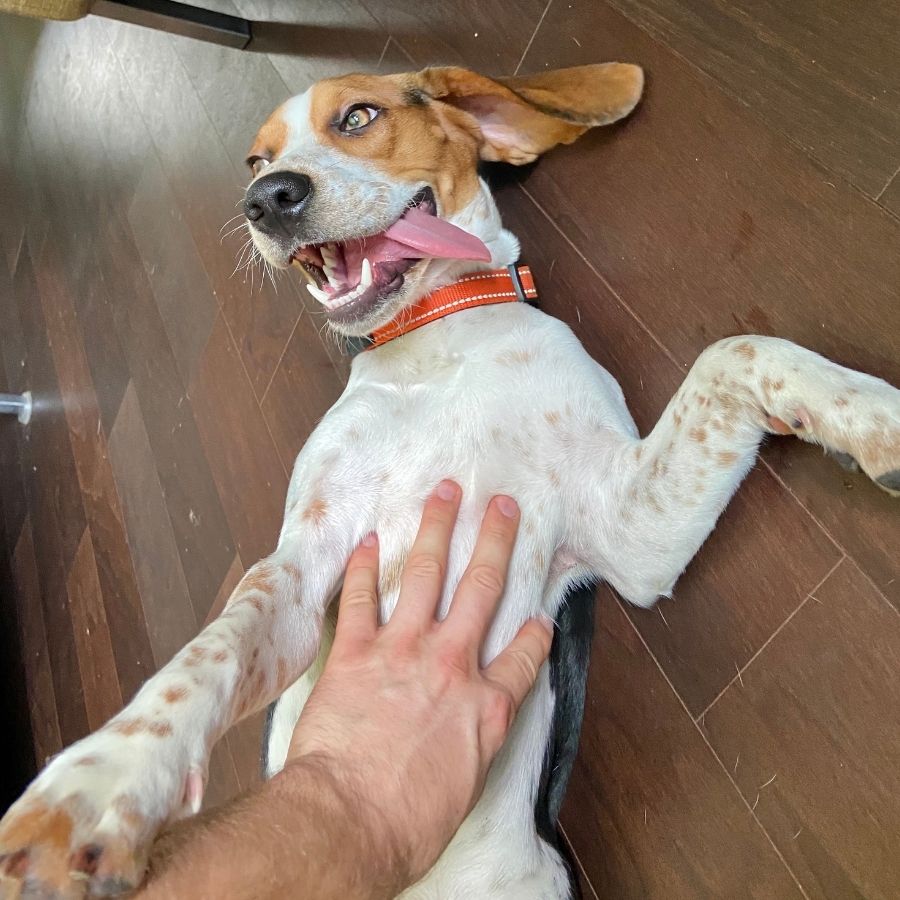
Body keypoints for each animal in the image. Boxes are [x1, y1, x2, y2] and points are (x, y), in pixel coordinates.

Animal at [1, 61, 900, 900]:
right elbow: (208, 652)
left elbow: (737, 349)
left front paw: (874, 416)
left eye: (358, 117)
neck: (434, 342)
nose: (267, 199)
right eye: (256, 158)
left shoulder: (626, 530)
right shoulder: (301, 576)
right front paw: (100, 786)